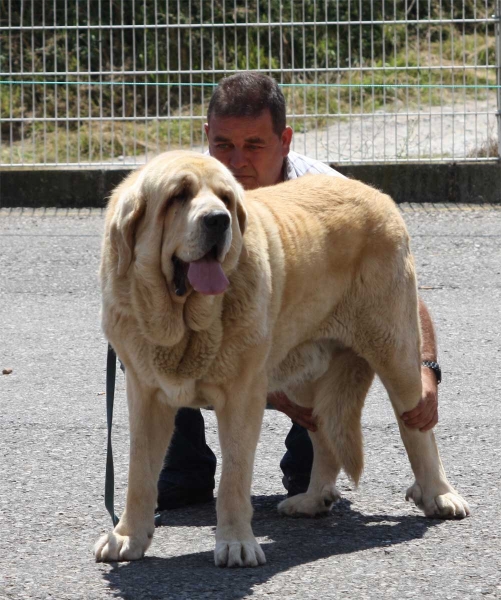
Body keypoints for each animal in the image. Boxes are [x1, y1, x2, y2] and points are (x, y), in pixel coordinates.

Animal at [94, 150, 468, 568]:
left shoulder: (241, 397)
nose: (219, 220)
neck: (186, 324)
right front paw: (128, 537)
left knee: (416, 429)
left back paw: (438, 494)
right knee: (324, 432)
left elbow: (233, 476)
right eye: (179, 196)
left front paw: (235, 543)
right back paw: (313, 498)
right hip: (305, 375)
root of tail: (377, 194)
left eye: (225, 198)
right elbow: (139, 472)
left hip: (394, 350)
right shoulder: (146, 394)